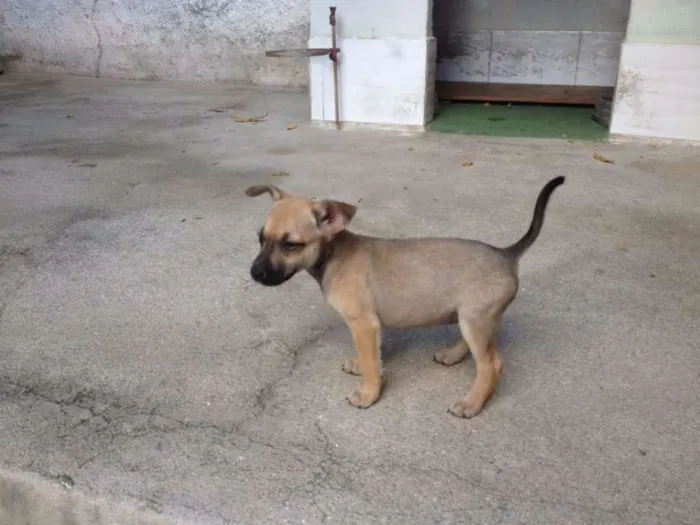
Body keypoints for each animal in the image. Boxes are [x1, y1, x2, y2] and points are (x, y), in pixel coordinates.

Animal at [245, 176, 564, 418]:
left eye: (290, 245)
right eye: (260, 238)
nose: (254, 273)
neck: (334, 255)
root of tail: (506, 254)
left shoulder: (363, 323)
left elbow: (372, 364)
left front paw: (368, 393)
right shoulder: (371, 326)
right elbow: (373, 355)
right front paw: (363, 366)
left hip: (476, 319)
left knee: (491, 366)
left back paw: (471, 403)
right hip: (472, 317)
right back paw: (452, 355)